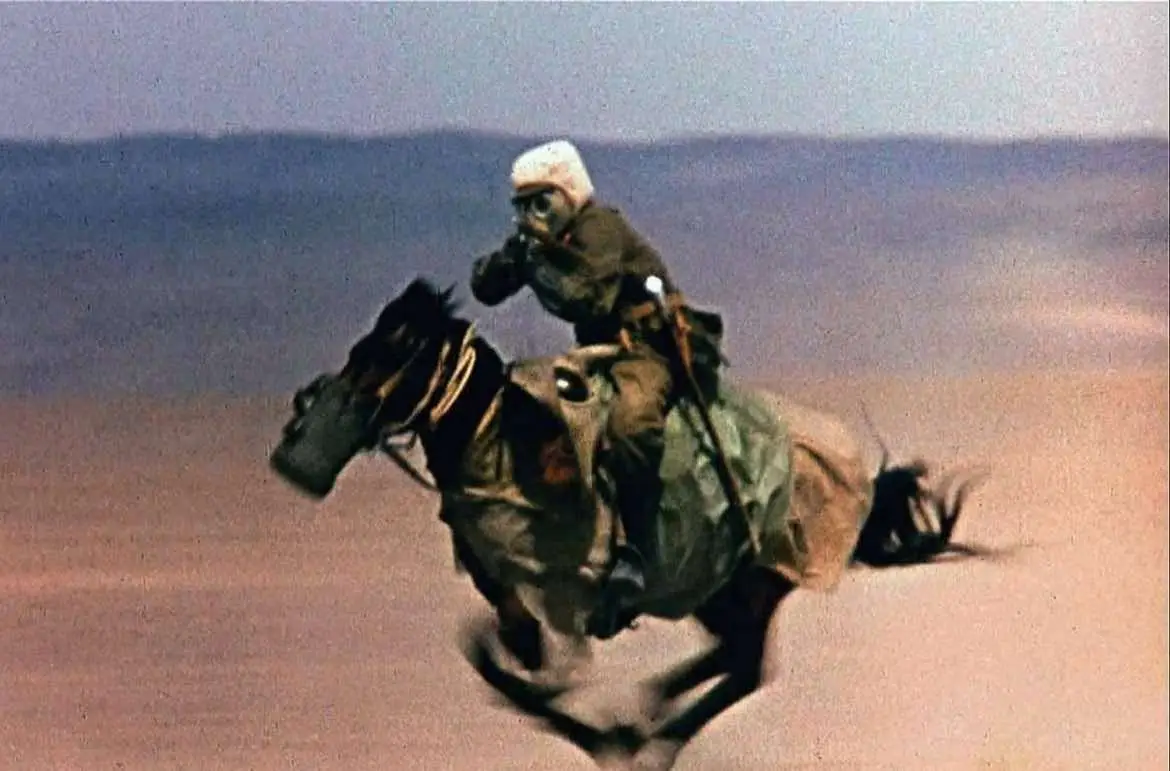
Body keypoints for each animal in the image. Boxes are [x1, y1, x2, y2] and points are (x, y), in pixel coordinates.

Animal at [267, 278, 987, 771]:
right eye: (364, 346)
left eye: (391, 351)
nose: (305, 410)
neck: (504, 444)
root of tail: (856, 485)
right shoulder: (513, 594)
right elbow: (494, 652)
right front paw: (581, 708)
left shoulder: (557, 589)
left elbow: (508, 663)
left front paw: (598, 730)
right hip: (712, 590)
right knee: (735, 658)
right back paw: (651, 708)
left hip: (744, 584)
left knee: (749, 666)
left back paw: (652, 730)